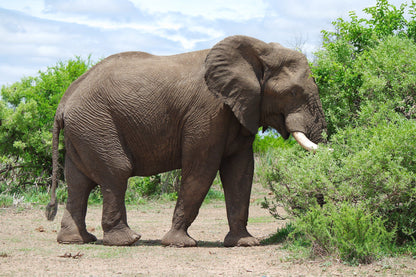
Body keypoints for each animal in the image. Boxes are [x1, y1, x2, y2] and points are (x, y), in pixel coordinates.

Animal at [44, 35, 324, 246]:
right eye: (293, 92)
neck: (259, 50)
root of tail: (64, 101)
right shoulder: (208, 112)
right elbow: (202, 170)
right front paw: (180, 243)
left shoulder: (240, 111)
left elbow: (241, 172)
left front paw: (245, 243)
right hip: (97, 124)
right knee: (116, 172)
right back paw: (127, 240)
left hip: (84, 130)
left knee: (78, 181)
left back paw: (75, 240)